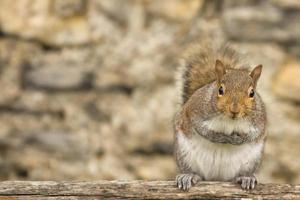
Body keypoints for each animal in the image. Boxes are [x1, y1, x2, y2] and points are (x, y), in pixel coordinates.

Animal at [173, 41, 268, 191]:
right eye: (220, 90)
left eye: (252, 93)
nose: (234, 109)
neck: (230, 120)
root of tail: (217, 178)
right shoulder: (195, 111)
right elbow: (201, 129)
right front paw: (219, 137)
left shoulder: (260, 121)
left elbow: (254, 134)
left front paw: (238, 139)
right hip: (184, 154)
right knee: (196, 173)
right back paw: (189, 176)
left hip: (252, 160)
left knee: (238, 176)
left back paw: (245, 178)